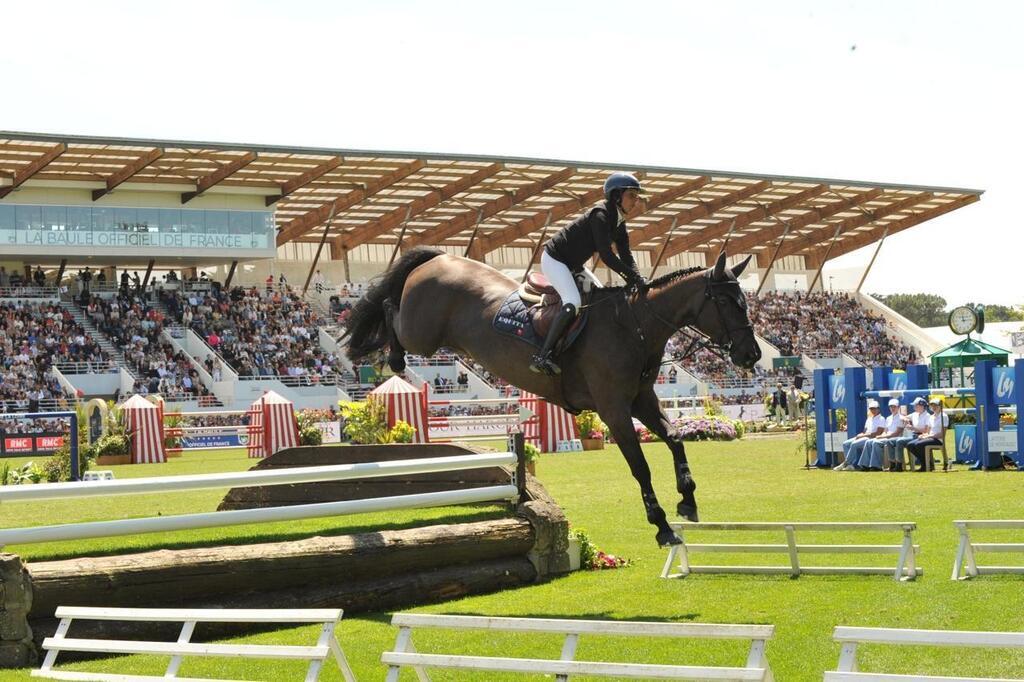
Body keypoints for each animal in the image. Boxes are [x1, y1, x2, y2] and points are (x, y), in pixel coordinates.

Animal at [344, 246, 761, 544]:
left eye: (746, 302)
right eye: (726, 302)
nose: (752, 355)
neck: (636, 326)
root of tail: (438, 258)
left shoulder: (641, 400)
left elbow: (675, 439)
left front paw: (687, 501)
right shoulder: (614, 409)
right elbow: (640, 466)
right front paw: (661, 526)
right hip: (422, 335)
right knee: (389, 310)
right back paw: (387, 356)